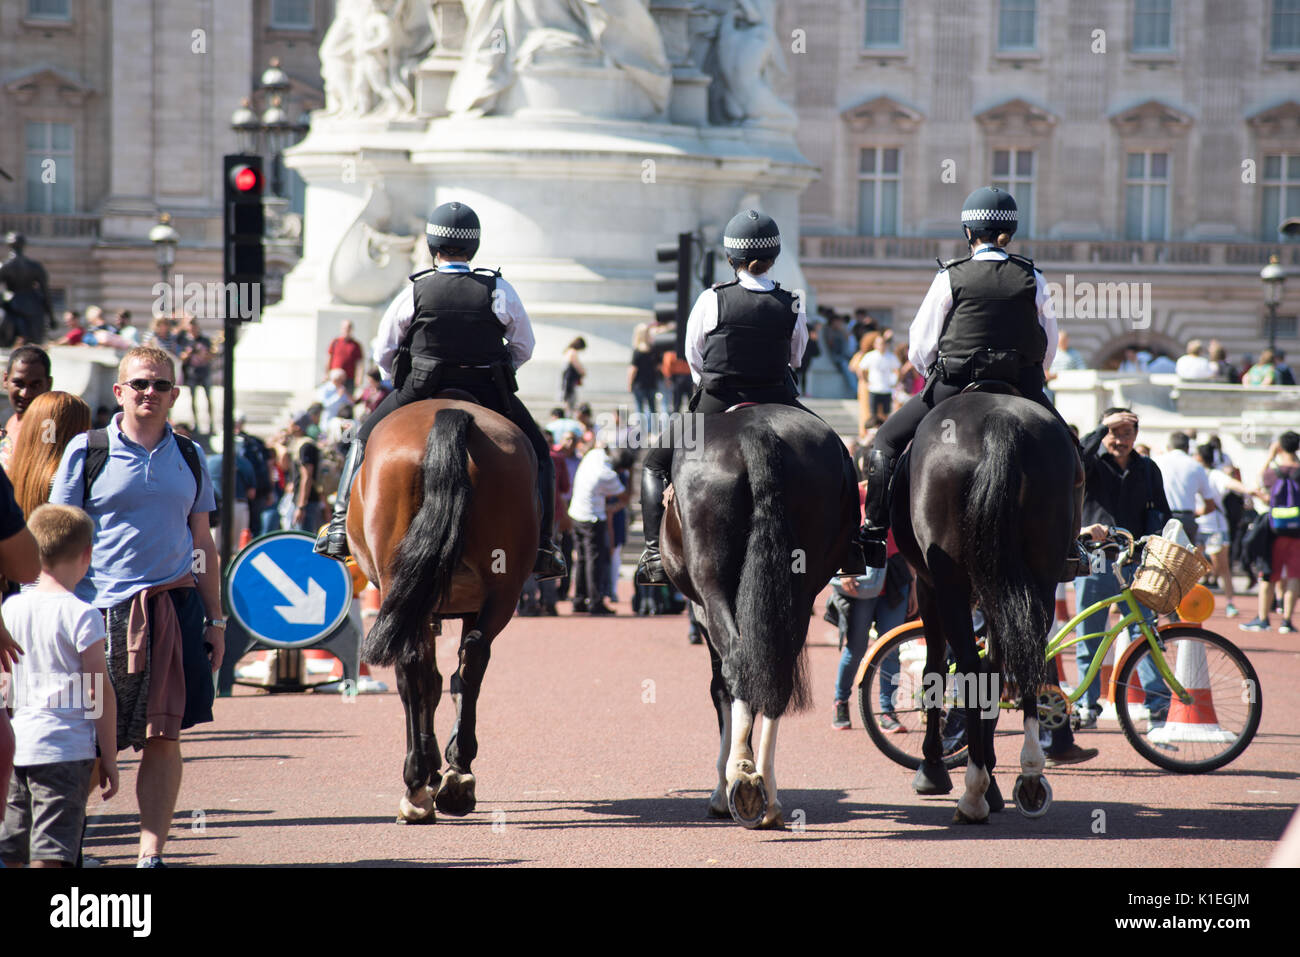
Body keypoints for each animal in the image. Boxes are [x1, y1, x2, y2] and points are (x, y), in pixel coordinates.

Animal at [348, 395, 535, 821]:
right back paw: (457, 777)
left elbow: (426, 683)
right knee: (472, 659)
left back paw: (420, 784)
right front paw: (443, 768)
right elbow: (442, 681)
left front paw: (431, 768)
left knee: (415, 666)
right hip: (500, 590)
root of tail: (452, 411)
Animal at [660, 403, 863, 832]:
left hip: (712, 585)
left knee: (737, 665)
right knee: (774, 674)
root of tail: (756, 429)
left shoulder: (701, 609)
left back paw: (740, 776)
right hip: (803, 589)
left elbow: (720, 688)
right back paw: (765, 793)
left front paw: (721, 787)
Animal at [894, 390, 1086, 821]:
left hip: (949, 583)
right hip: (1040, 576)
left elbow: (936, 668)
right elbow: (995, 668)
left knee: (965, 664)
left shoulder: (928, 585)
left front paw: (934, 767)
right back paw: (1029, 773)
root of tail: (1000, 421)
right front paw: (996, 775)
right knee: (1028, 656)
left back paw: (972, 794)